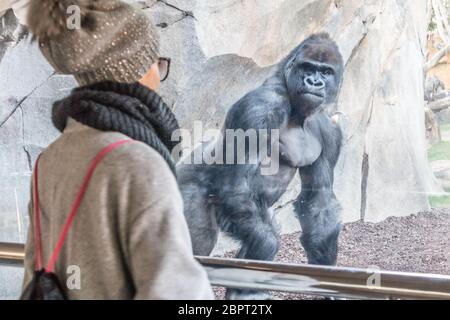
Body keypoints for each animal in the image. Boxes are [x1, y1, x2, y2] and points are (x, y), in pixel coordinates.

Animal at [177, 33, 344, 298]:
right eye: (308, 67)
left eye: (326, 72)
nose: (314, 82)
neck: (298, 113)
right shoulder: (260, 109)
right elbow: (237, 187)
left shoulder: (329, 132)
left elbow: (319, 201)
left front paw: (327, 275)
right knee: (198, 241)